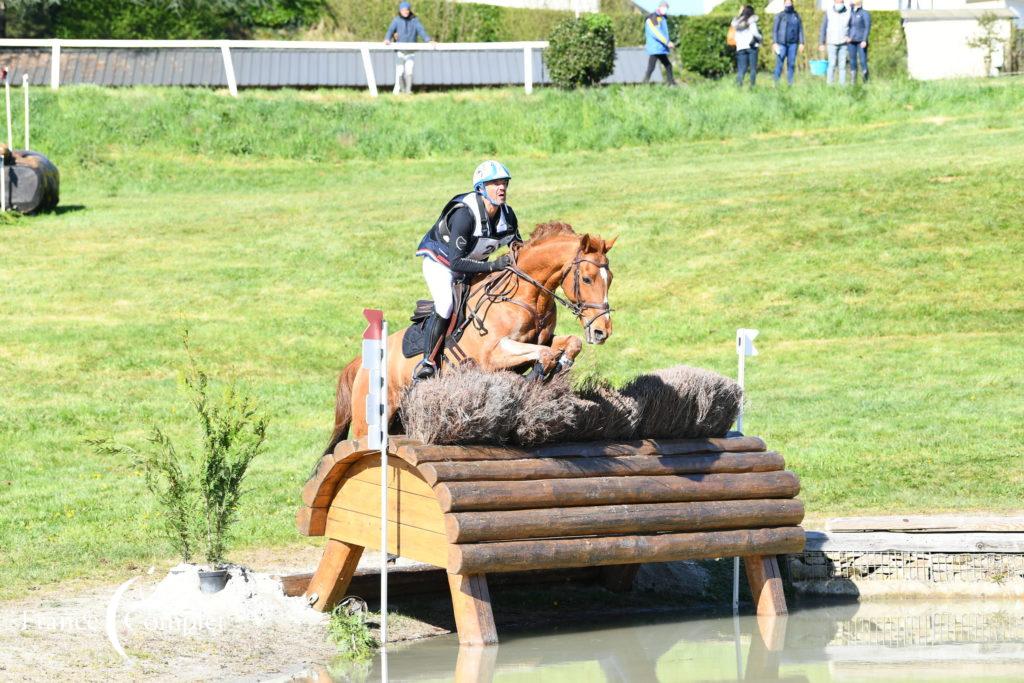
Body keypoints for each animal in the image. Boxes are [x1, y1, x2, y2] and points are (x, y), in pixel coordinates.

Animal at [323, 220, 618, 454]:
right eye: (588, 279)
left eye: (611, 277)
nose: (602, 331)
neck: (527, 295)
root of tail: (360, 364)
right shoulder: (492, 354)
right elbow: (543, 354)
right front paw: (536, 378)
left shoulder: (540, 340)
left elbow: (568, 343)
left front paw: (559, 366)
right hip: (369, 421)